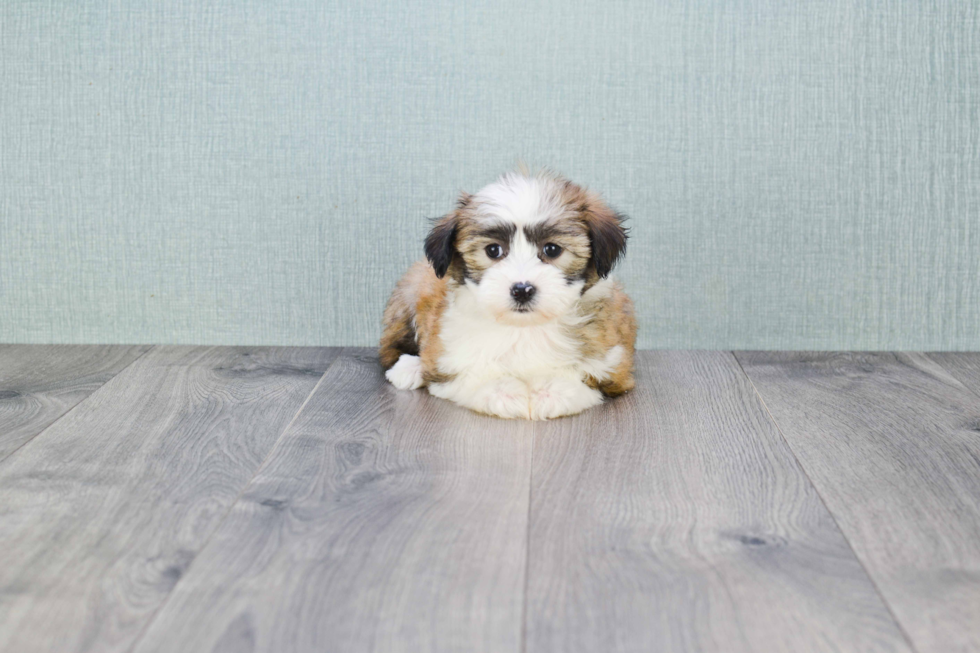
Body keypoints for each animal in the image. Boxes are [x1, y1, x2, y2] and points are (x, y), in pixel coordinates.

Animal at [376, 168, 636, 420]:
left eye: (552, 249)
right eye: (493, 250)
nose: (522, 290)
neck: (523, 329)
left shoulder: (614, 367)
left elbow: (588, 379)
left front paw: (553, 390)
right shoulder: (444, 360)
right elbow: (468, 374)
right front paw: (501, 391)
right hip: (412, 290)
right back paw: (409, 368)